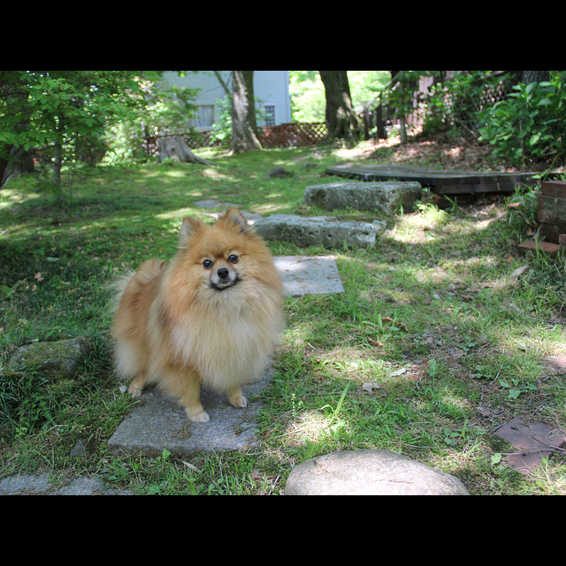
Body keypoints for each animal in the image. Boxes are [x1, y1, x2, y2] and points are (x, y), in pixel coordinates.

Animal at [112, 207, 286, 422]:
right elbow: (191, 389)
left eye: (233, 258)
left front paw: (236, 397)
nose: (222, 271)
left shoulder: (236, 347)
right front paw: (196, 413)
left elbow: (232, 378)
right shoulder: (182, 360)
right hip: (144, 342)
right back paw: (136, 386)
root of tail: (144, 279)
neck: (224, 304)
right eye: (207, 263)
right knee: (143, 366)